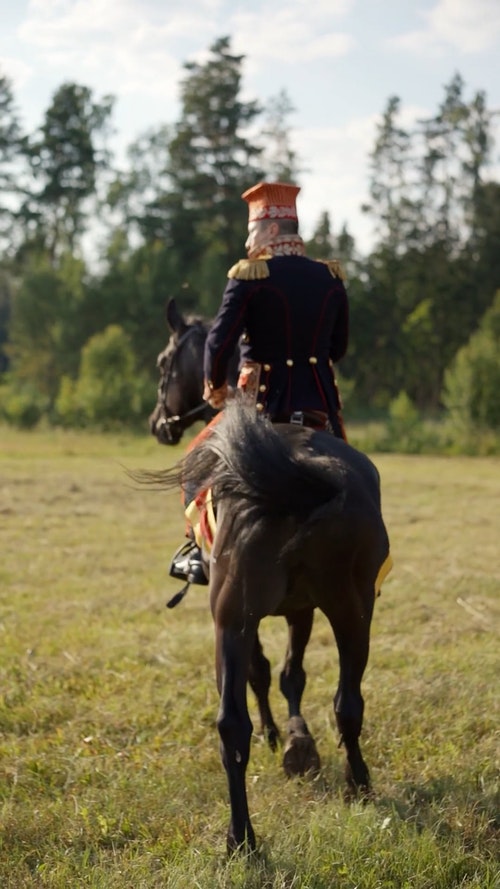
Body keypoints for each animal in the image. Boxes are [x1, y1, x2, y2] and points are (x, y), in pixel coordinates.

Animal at [146, 398, 392, 848]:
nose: (160, 424)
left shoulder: (275, 614)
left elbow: (269, 674)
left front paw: (283, 737)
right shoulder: (296, 610)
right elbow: (288, 674)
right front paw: (296, 741)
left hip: (234, 619)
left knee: (234, 722)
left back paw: (242, 835)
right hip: (352, 612)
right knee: (347, 703)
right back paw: (356, 786)